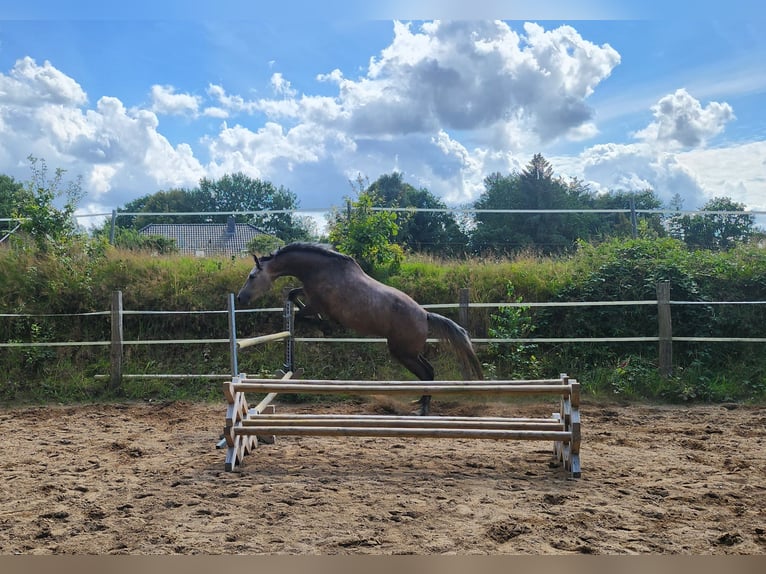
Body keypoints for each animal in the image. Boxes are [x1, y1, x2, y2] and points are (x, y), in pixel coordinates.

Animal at [237, 242, 484, 414]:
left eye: (252, 276)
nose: (240, 298)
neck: (320, 269)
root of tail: (425, 315)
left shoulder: (317, 303)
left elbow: (301, 314)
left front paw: (326, 327)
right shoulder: (309, 296)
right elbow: (292, 295)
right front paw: (323, 325)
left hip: (403, 352)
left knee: (428, 373)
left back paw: (422, 409)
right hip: (408, 352)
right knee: (429, 372)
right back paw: (421, 403)